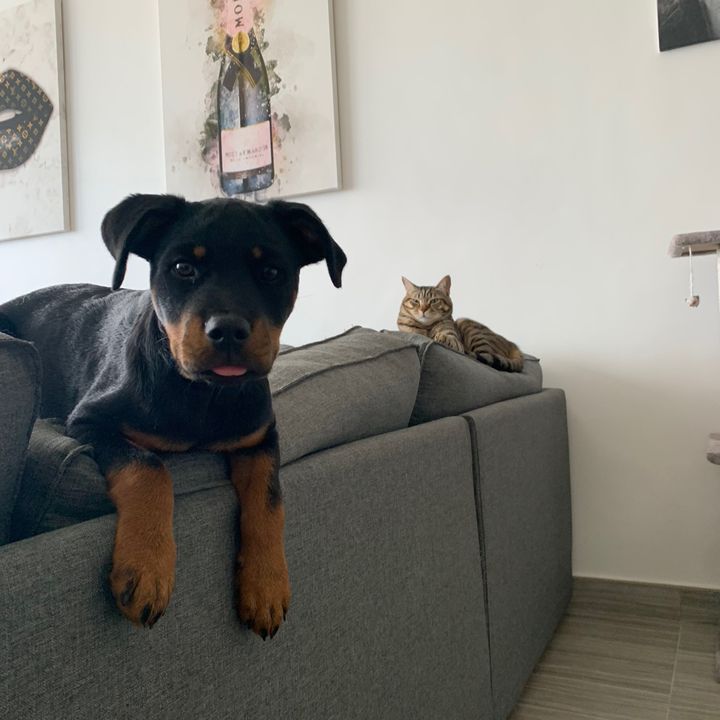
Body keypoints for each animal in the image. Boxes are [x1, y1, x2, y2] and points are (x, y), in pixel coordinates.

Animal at [0, 193, 346, 638]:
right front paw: (147, 570)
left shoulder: (260, 437)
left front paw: (266, 587)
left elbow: (269, 500)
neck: (203, 394)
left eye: (271, 272)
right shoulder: (89, 422)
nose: (227, 330)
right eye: (183, 268)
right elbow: (148, 468)